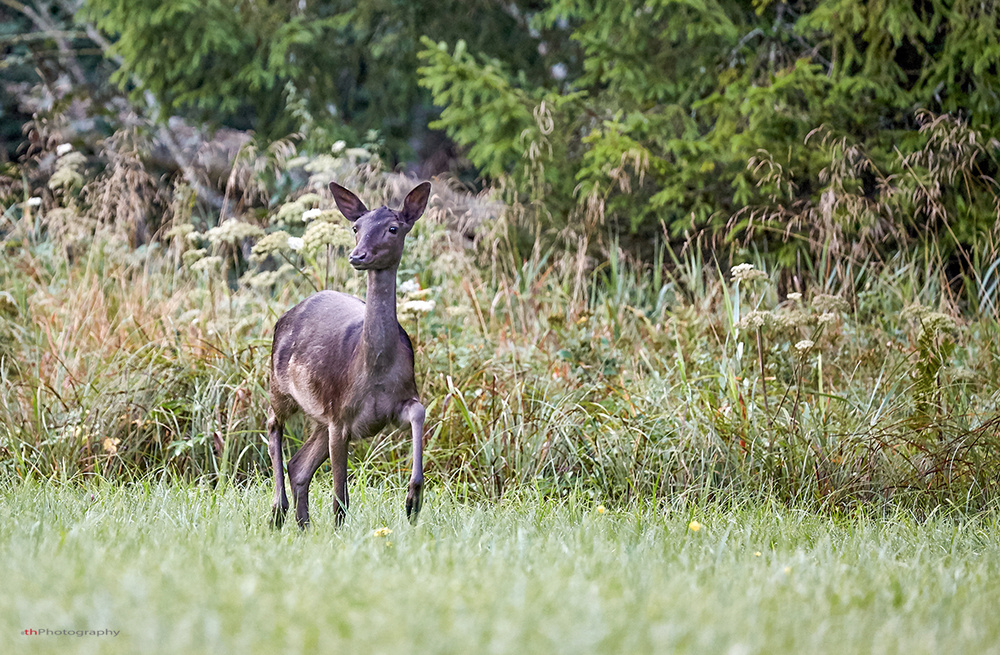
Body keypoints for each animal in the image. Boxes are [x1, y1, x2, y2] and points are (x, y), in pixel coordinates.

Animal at [270, 182, 430, 532]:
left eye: (393, 228)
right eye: (356, 227)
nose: (357, 255)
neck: (374, 371)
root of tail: (287, 314)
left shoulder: (396, 400)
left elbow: (420, 411)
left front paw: (413, 500)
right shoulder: (340, 413)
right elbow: (340, 492)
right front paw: (339, 529)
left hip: (319, 415)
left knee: (299, 465)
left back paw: (303, 525)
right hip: (279, 386)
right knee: (273, 427)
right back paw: (278, 510)